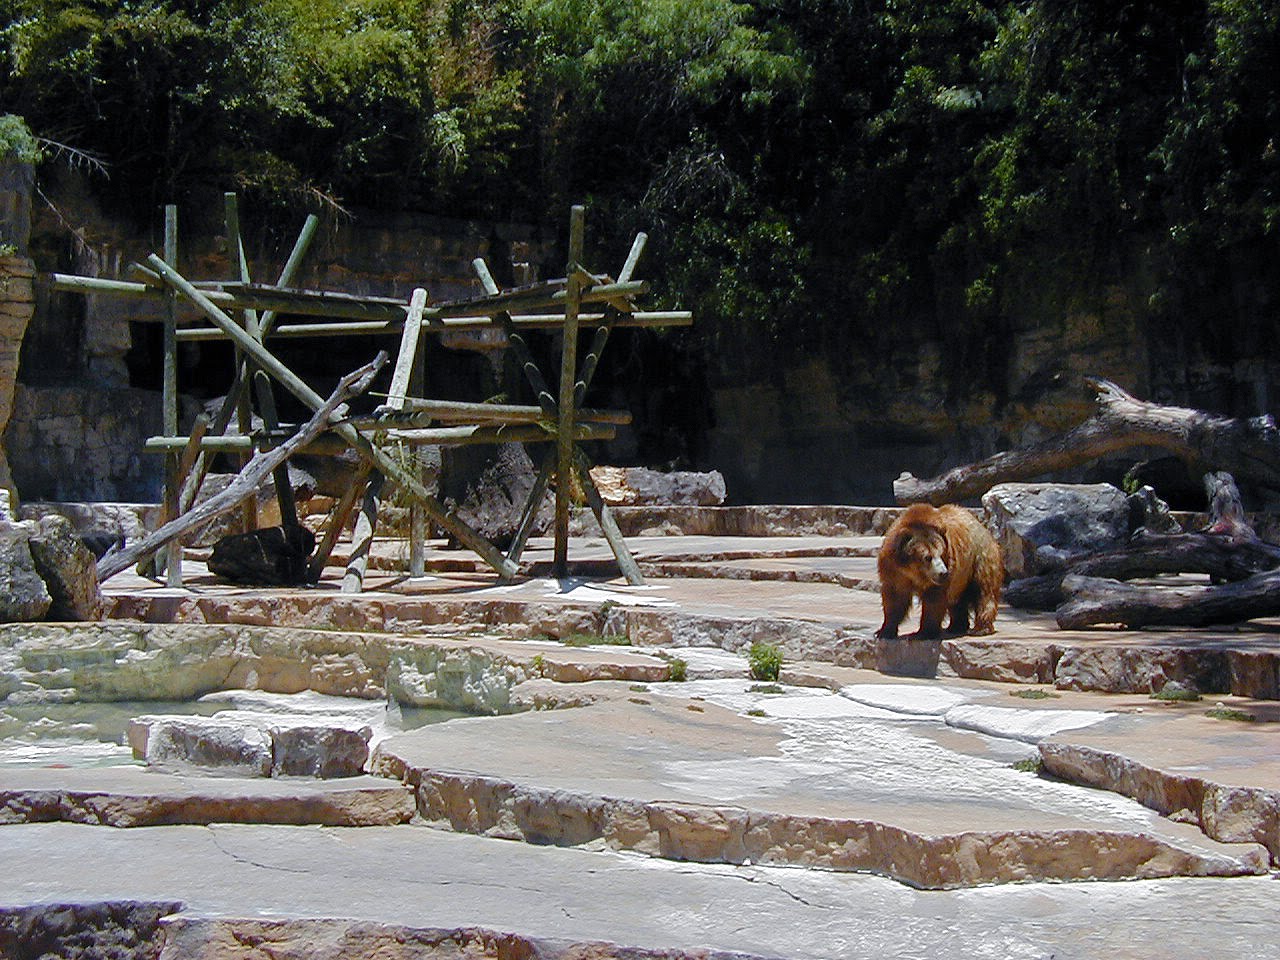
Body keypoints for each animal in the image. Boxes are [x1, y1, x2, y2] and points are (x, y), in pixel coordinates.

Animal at [875, 503, 1003, 640]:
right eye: (927, 557)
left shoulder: (944, 571)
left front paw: (923, 632)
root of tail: (981, 525)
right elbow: (894, 598)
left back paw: (980, 628)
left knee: (984, 591)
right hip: (961, 577)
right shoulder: (894, 571)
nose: (943, 573)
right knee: (957, 600)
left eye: (941, 554)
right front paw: (884, 631)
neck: (913, 571)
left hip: (979, 558)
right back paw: (956, 626)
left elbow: (934, 600)